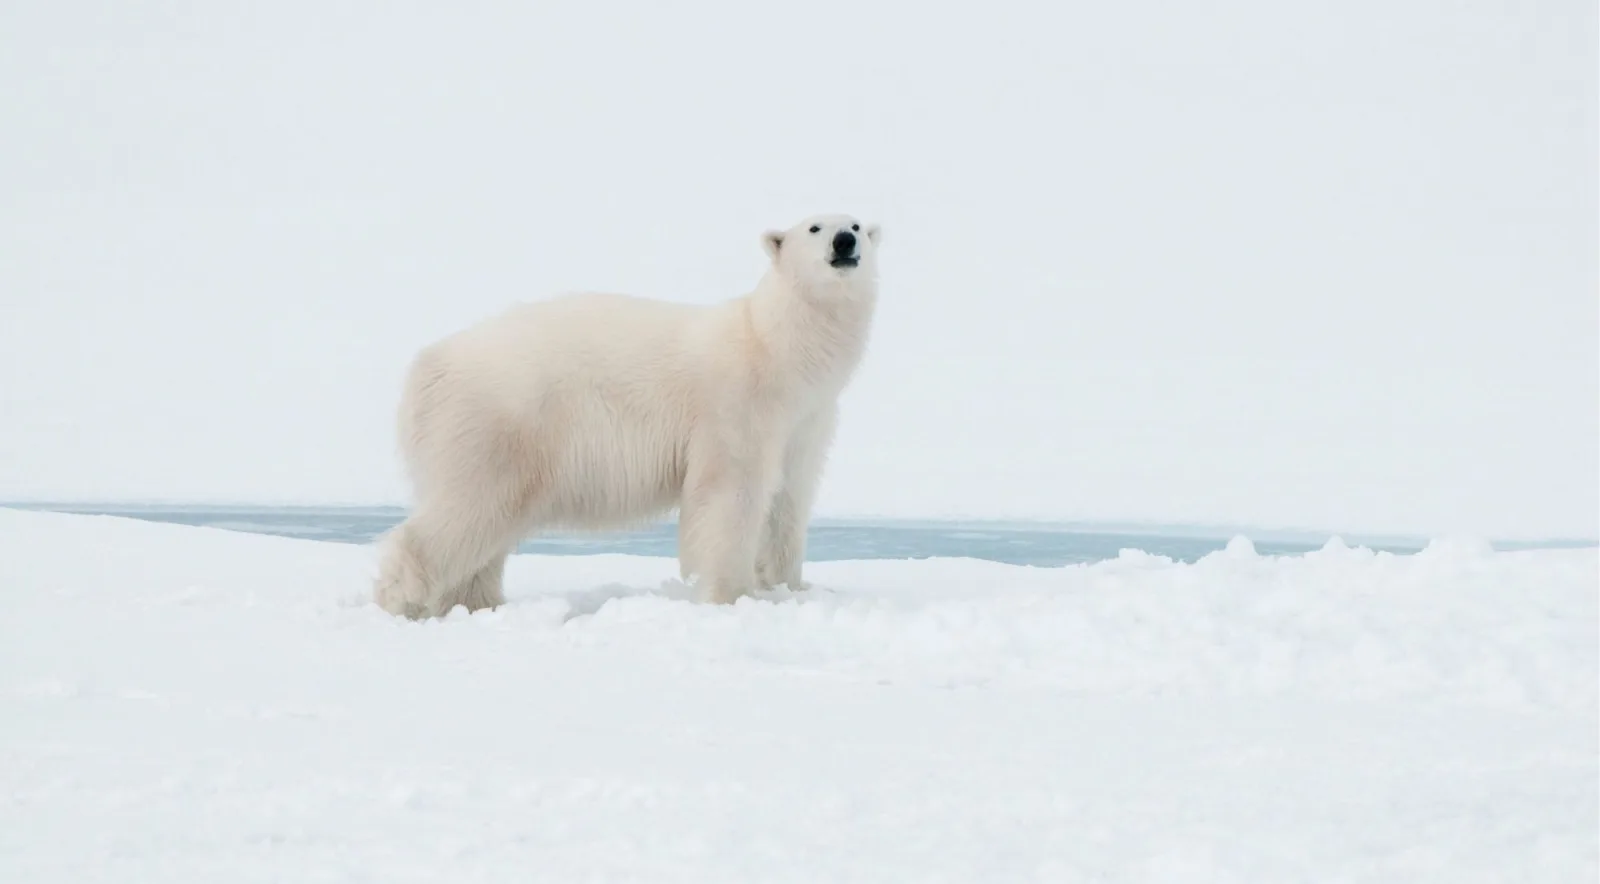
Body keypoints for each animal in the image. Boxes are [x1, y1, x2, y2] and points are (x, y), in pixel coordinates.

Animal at [373, 213, 884, 618]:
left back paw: (476, 603)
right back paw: (402, 598)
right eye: (814, 227)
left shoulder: (806, 419)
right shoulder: (736, 405)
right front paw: (729, 595)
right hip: (498, 420)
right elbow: (728, 495)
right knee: (468, 508)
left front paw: (789, 587)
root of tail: (430, 365)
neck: (777, 349)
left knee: (487, 525)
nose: (844, 242)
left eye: (857, 224)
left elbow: (788, 500)